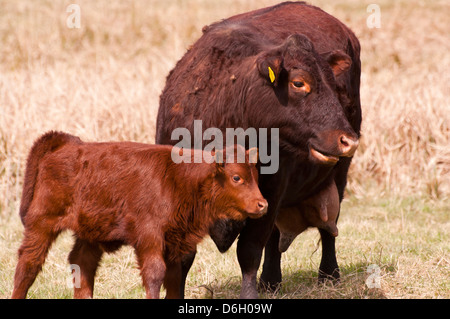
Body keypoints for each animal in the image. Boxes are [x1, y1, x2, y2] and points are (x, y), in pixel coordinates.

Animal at [11, 132, 268, 300]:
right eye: (236, 177)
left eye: (255, 175)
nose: (262, 204)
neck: (181, 178)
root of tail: (66, 145)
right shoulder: (150, 238)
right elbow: (155, 274)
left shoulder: (177, 243)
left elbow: (174, 278)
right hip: (42, 224)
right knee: (29, 264)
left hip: (88, 232)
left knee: (82, 263)